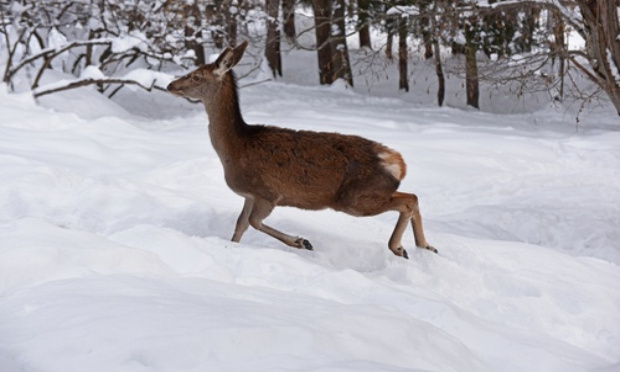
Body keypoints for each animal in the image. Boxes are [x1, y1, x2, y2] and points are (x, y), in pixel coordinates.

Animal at [166, 40, 436, 260]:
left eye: (196, 76)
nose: (170, 85)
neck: (234, 149)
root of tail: (398, 162)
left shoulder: (267, 192)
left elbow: (253, 222)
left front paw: (301, 241)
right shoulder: (249, 195)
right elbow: (240, 226)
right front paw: (232, 247)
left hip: (354, 198)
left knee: (408, 200)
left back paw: (399, 247)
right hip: (367, 193)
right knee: (412, 197)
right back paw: (426, 246)